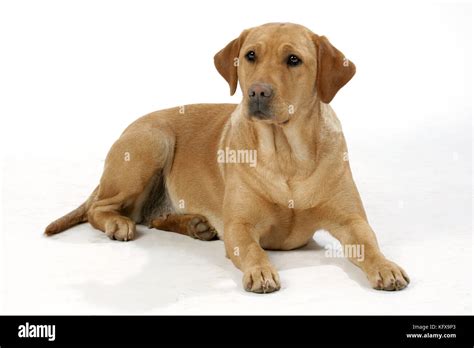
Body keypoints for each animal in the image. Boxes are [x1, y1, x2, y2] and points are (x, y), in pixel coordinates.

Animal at [47, 22, 412, 294]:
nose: (258, 92)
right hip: (152, 143)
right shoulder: (240, 226)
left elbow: (369, 244)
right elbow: (252, 248)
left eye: (293, 60)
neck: (287, 156)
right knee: (100, 209)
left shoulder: (352, 221)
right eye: (250, 55)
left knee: (152, 217)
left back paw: (195, 224)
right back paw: (119, 223)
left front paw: (386, 267)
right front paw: (261, 272)